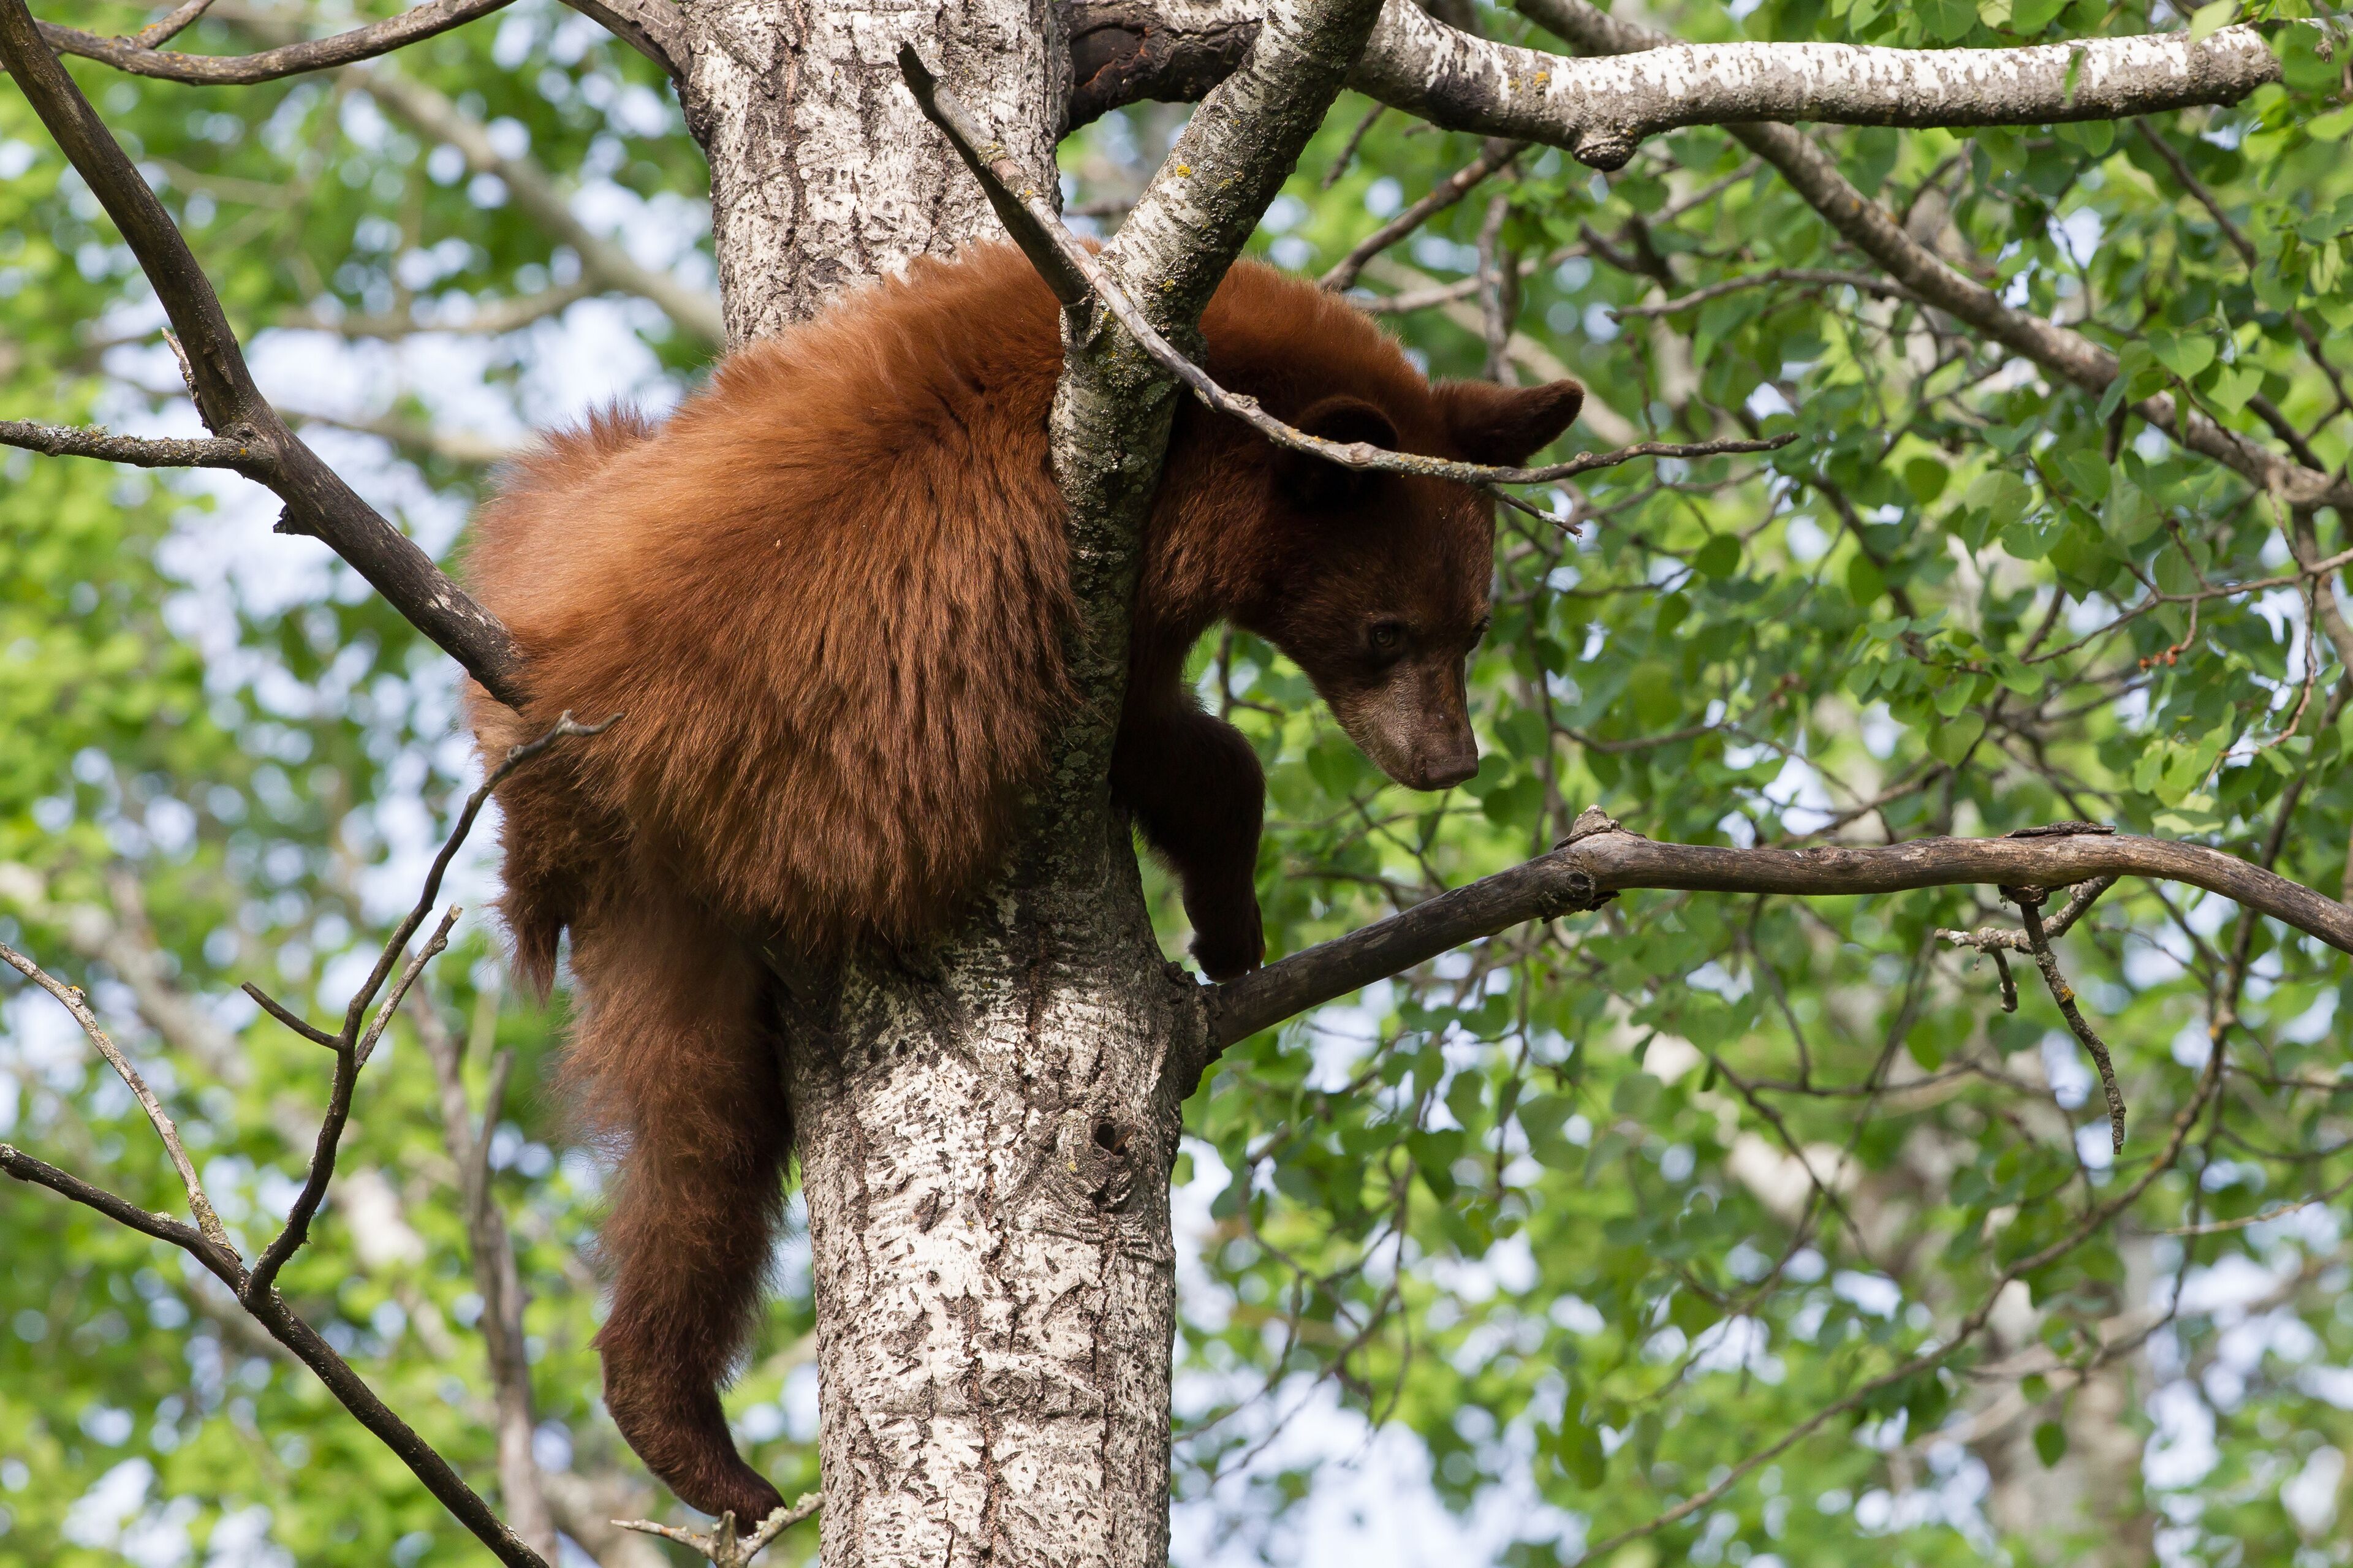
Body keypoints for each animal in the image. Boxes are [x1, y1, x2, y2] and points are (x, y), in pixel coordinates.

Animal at [460, 242, 1582, 1524]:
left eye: (1475, 624)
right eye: (1387, 630)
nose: (1449, 759)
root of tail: (569, 741)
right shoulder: (1136, 544)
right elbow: (1172, 737)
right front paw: (1231, 922)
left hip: (659, 866)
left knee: (697, 1141)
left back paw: (677, 1420)